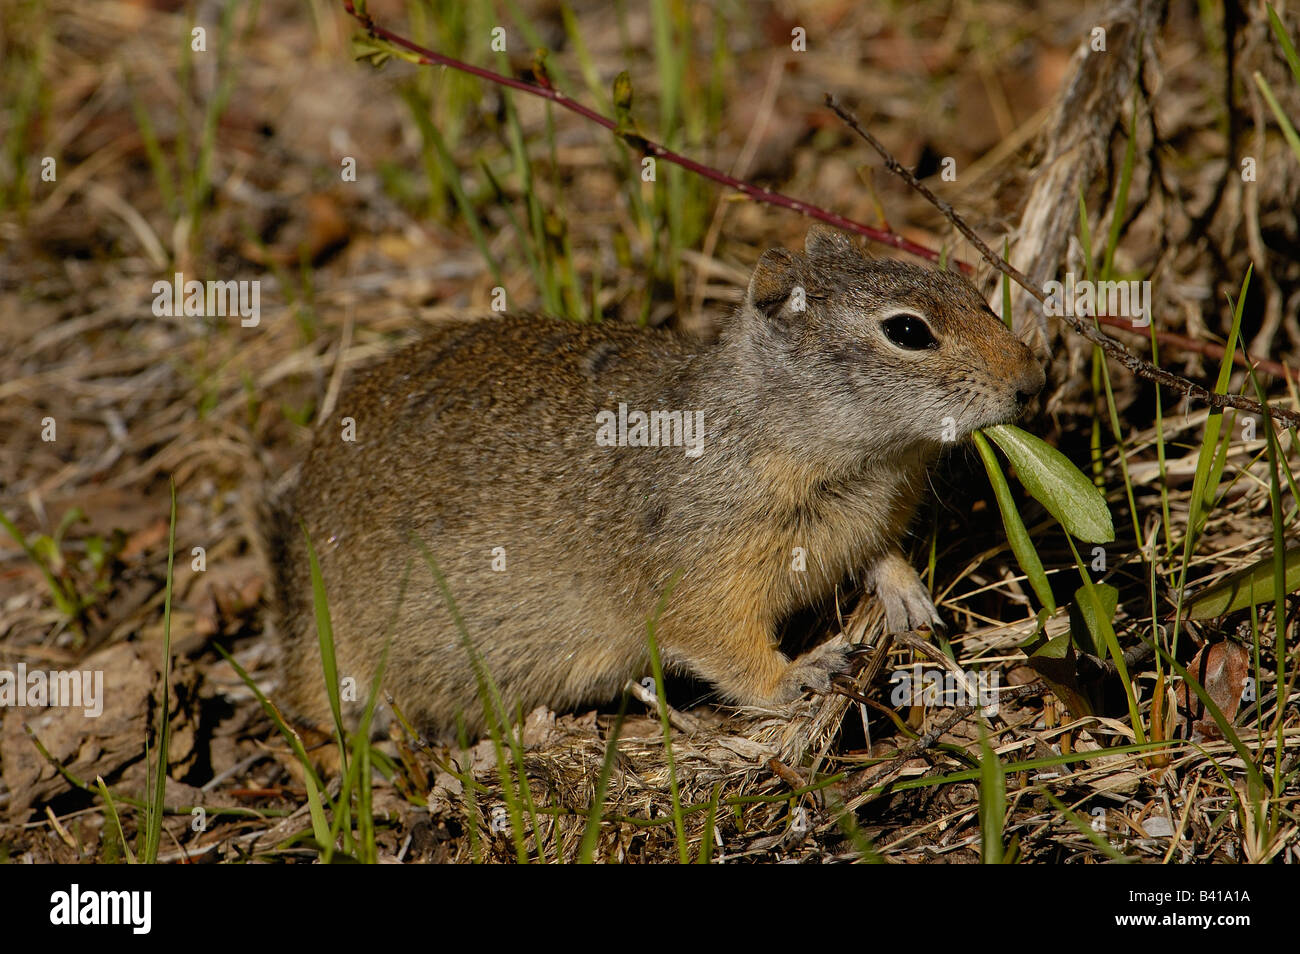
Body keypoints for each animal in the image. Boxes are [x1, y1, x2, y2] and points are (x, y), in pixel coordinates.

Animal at [262, 225, 1045, 740]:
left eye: (971, 290)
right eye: (908, 332)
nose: (1031, 382)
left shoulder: (868, 518)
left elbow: (880, 553)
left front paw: (908, 596)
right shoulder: (699, 584)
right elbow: (727, 650)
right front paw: (801, 673)